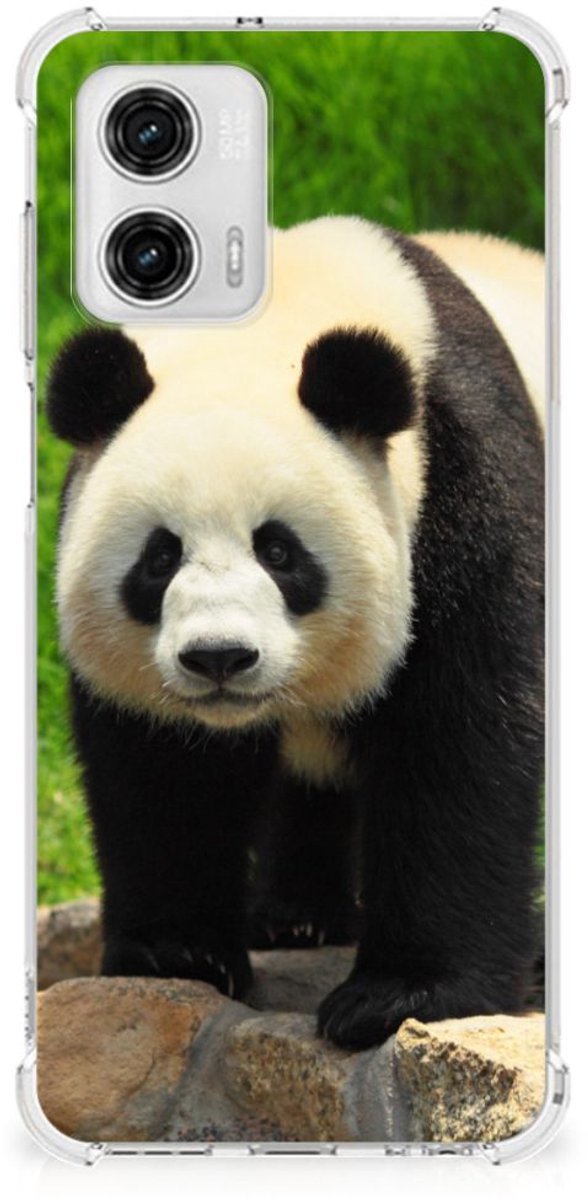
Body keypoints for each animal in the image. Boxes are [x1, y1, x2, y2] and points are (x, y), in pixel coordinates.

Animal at [46, 217, 545, 1050]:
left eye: (279, 551)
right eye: (159, 557)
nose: (219, 657)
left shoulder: (465, 487)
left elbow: (462, 739)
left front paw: (400, 995)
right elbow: (161, 768)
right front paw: (178, 953)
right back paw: (296, 917)